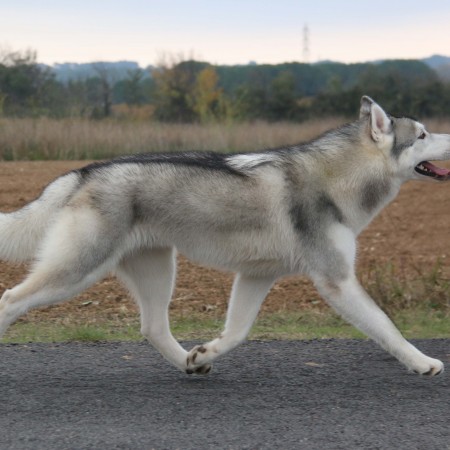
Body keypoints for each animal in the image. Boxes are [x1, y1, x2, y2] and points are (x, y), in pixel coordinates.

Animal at [0, 96, 450, 378]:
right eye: (423, 135)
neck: (337, 179)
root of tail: (84, 172)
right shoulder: (336, 281)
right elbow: (386, 326)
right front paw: (422, 362)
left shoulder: (256, 276)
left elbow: (236, 332)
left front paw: (205, 352)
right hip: (77, 270)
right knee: (10, 299)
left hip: (158, 271)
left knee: (153, 327)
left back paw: (189, 363)